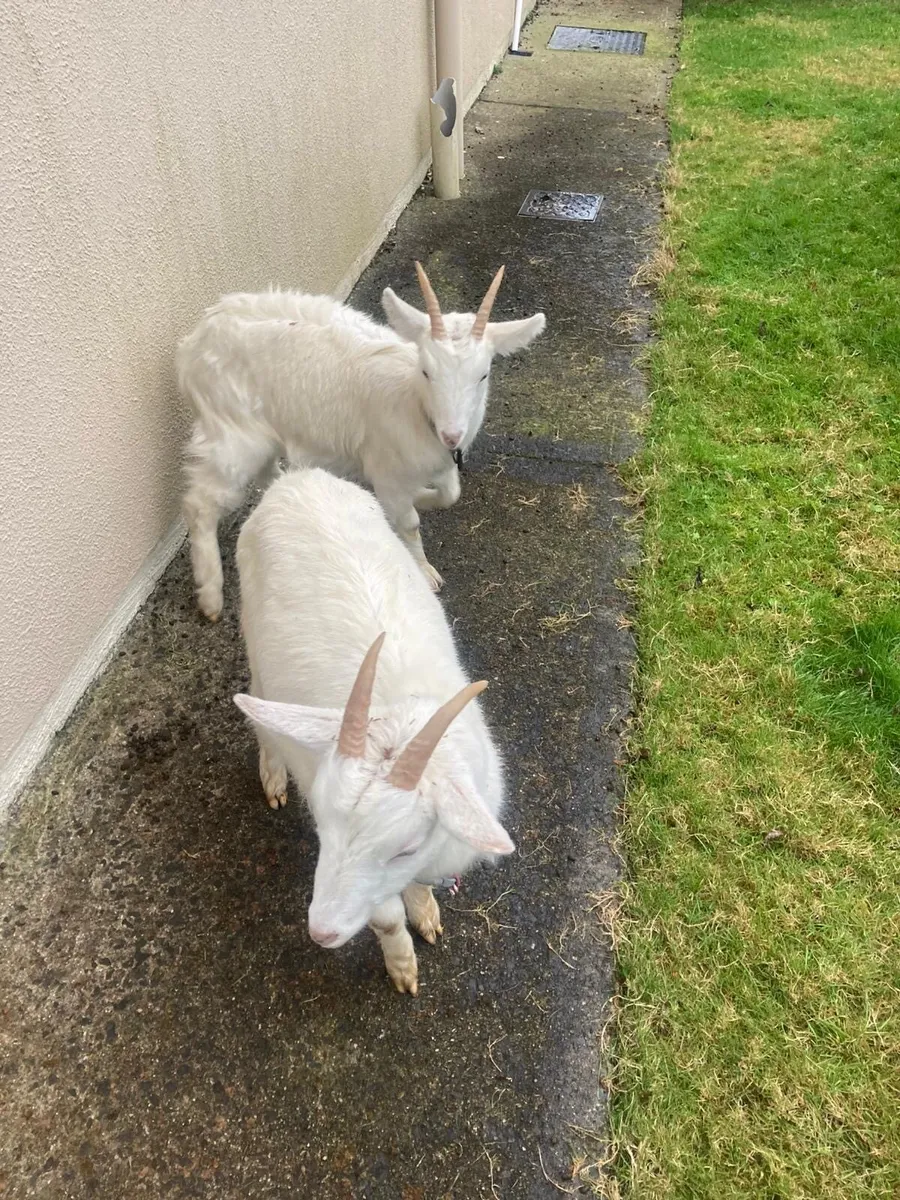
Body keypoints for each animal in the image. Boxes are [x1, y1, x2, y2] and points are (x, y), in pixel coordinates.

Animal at [177, 262, 545, 619]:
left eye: (483, 374)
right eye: (426, 371)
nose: (451, 434)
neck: (414, 404)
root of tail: (194, 341)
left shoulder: (439, 464)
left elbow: (449, 495)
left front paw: (423, 497)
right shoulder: (387, 468)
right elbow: (409, 523)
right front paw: (425, 572)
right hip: (231, 430)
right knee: (200, 503)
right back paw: (210, 596)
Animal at [233, 467, 514, 995]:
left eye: (405, 848)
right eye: (321, 824)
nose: (321, 932)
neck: (399, 708)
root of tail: (296, 479)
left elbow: (416, 886)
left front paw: (425, 912)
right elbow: (385, 921)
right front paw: (402, 967)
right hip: (253, 634)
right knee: (258, 705)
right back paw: (273, 775)